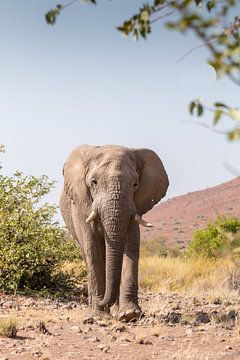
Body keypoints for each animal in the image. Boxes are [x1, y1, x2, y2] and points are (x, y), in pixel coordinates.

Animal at [60, 145, 169, 322]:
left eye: (135, 184)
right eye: (94, 182)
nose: (102, 302)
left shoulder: (134, 206)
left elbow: (131, 245)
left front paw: (129, 314)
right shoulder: (81, 203)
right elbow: (92, 248)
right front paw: (98, 314)